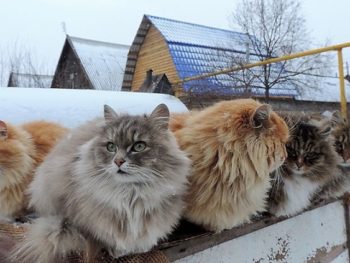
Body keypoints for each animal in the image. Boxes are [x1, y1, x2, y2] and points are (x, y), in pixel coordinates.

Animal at [10, 104, 190, 262]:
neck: (130, 196)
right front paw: (118, 251)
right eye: (111, 147)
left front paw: (140, 248)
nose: (118, 161)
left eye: (139, 146)